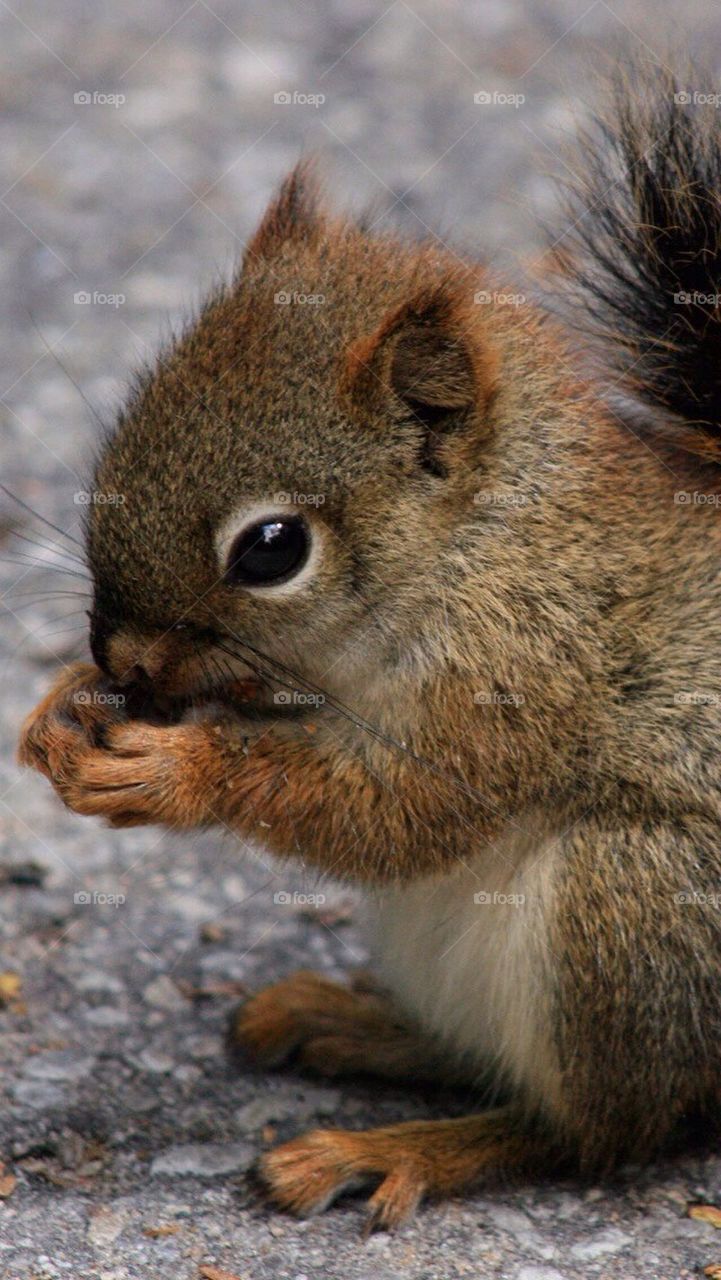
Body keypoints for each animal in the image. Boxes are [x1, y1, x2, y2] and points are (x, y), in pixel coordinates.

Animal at [15, 62, 721, 1228]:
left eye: (271, 548)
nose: (121, 661)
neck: (475, 542)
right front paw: (57, 712)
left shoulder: (523, 666)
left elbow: (404, 809)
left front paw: (178, 771)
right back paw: (350, 1022)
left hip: (633, 913)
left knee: (591, 1133)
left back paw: (397, 1147)